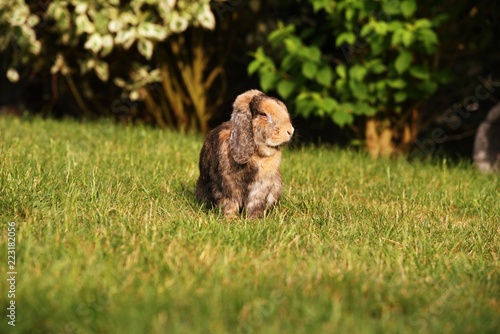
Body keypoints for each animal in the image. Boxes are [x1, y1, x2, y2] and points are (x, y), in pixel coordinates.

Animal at [195, 89, 294, 219]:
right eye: (263, 115)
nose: (290, 131)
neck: (257, 154)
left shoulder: (261, 186)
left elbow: (255, 204)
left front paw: (254, 220)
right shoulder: (226, 186)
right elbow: (229, 202)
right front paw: (231, 219)